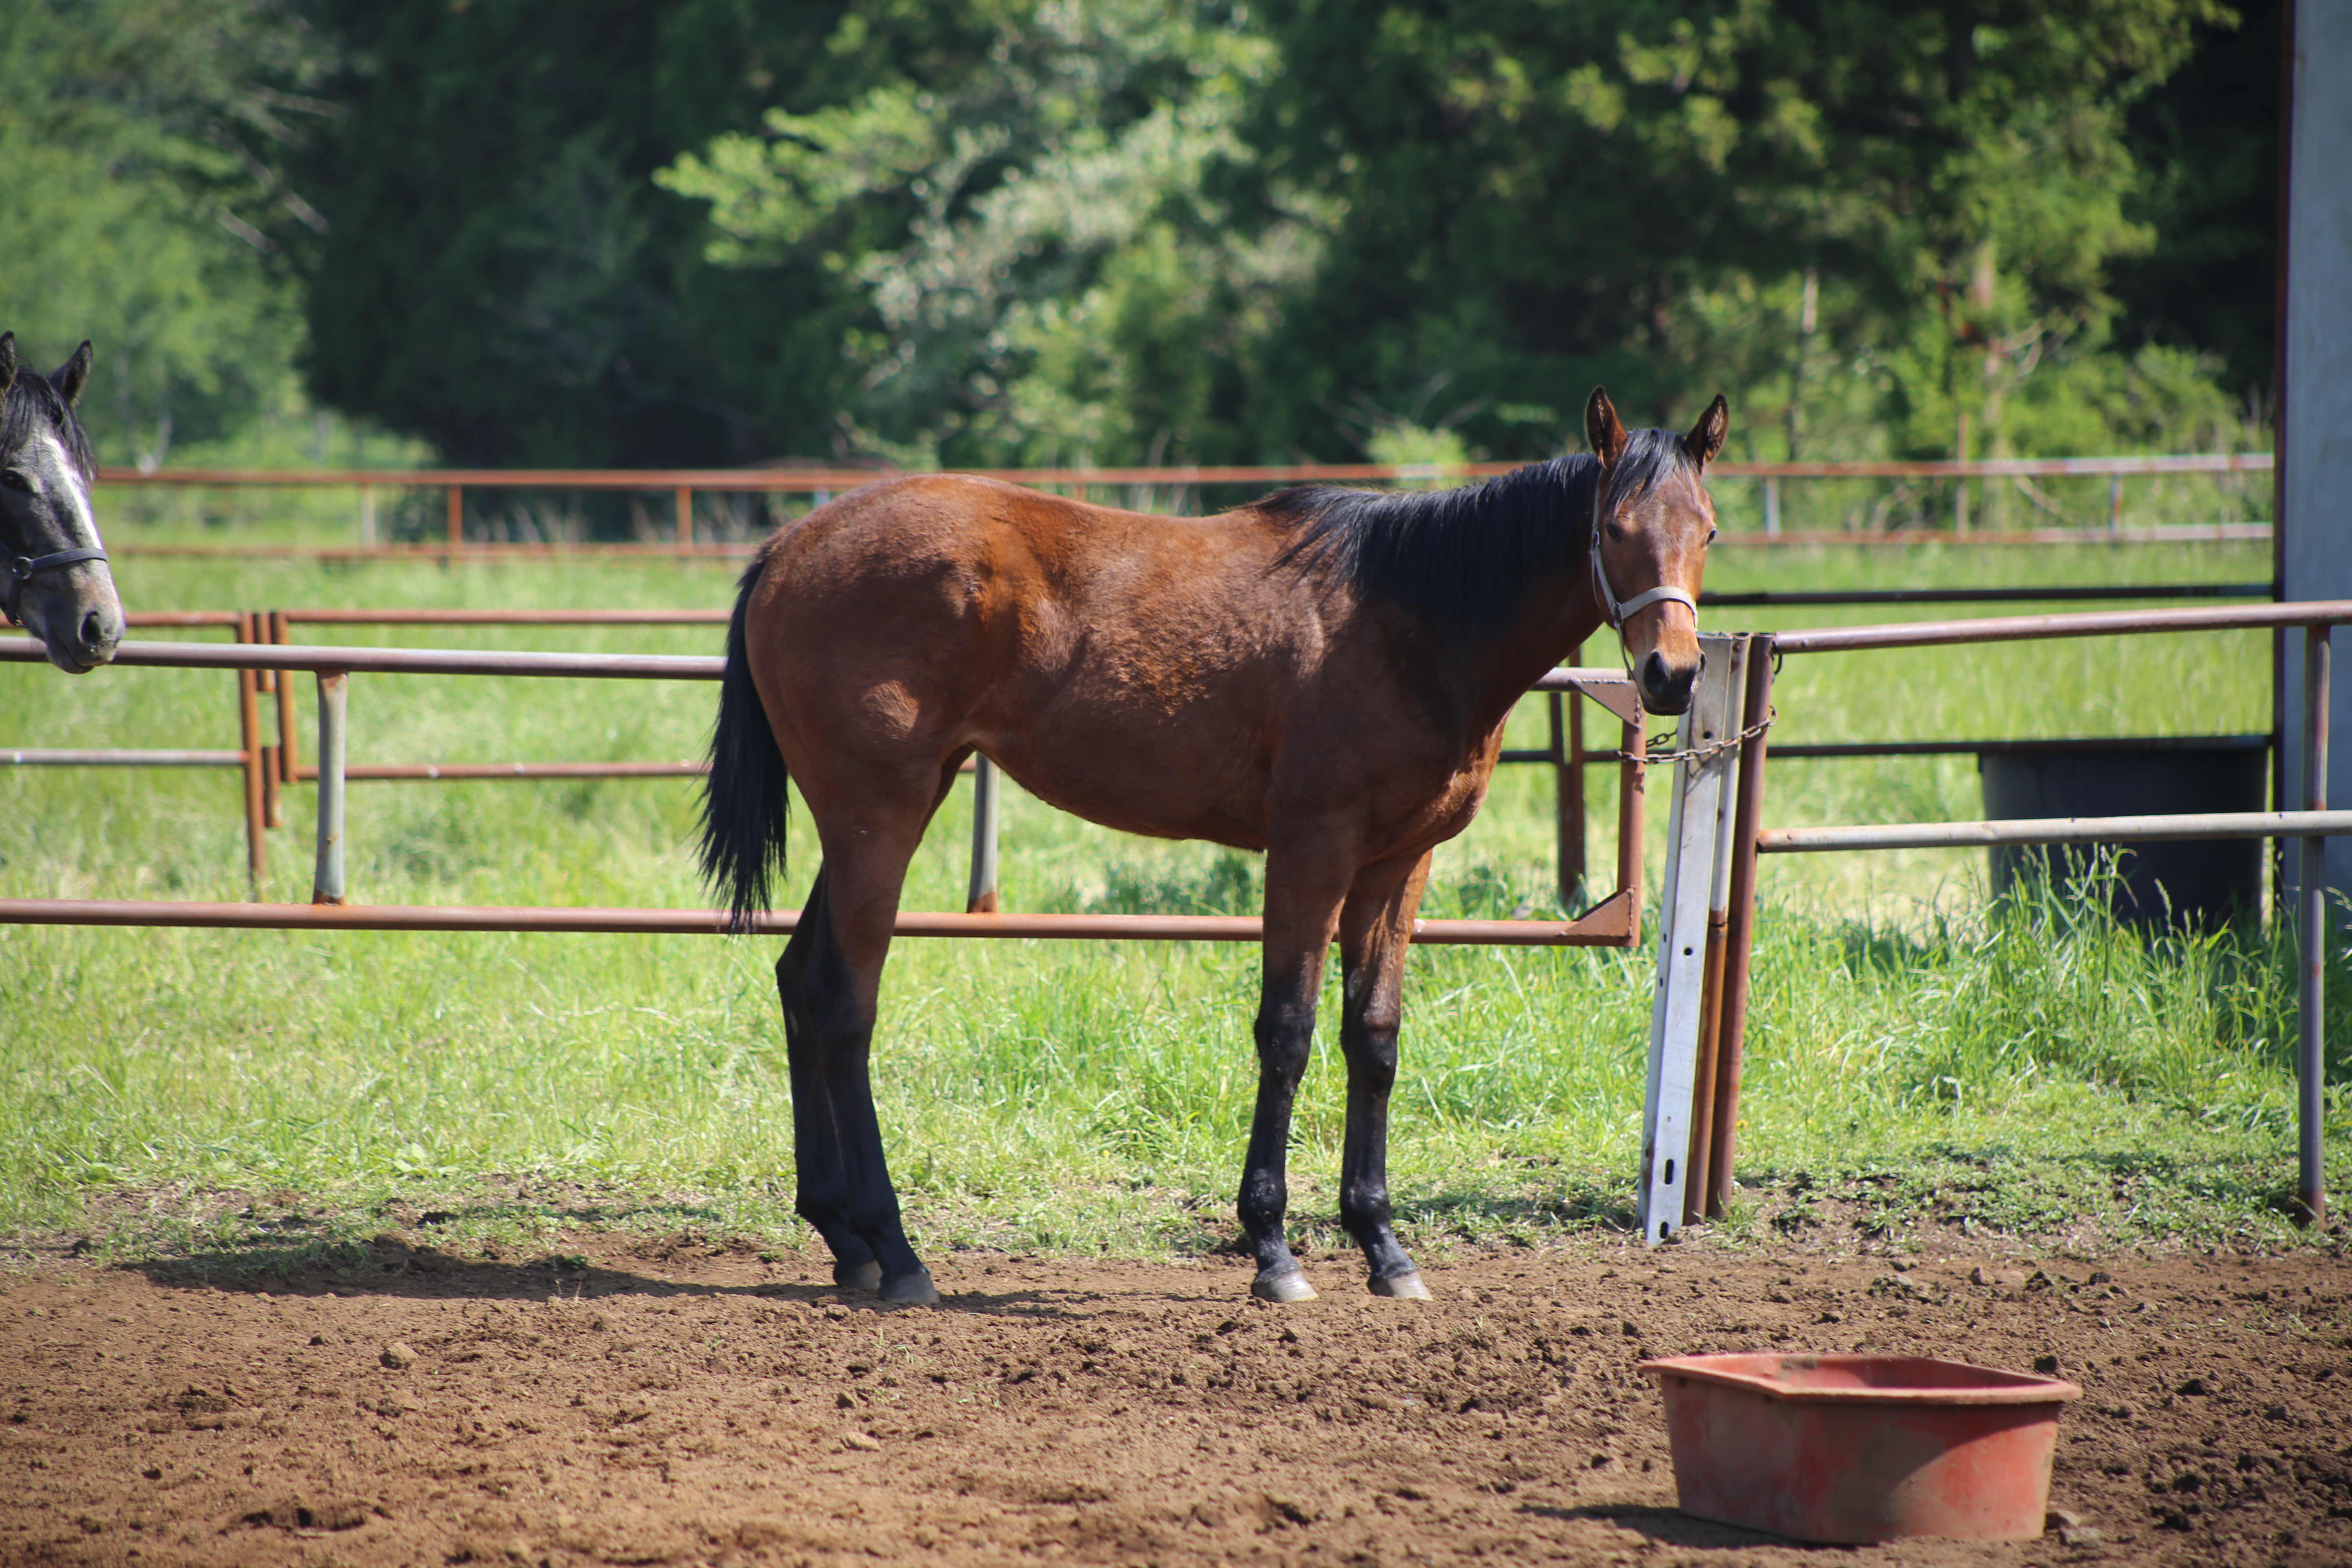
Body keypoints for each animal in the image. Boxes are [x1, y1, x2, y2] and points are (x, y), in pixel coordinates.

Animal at [696, 385, 1731, 1307]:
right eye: (1613, 528)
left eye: (1708, 530)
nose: (1671, 674)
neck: (1412, 617)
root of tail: (791, 545)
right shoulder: (1311, 849)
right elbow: (1288, 1032)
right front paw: (1272, 1249)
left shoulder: (1397, 866)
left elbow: (1373, 1038)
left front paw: (1382, 1245)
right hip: (880, 818)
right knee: (844, 1006)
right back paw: (897, 1248)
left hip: (863, 823)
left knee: (801, 982)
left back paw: (844, 1237)